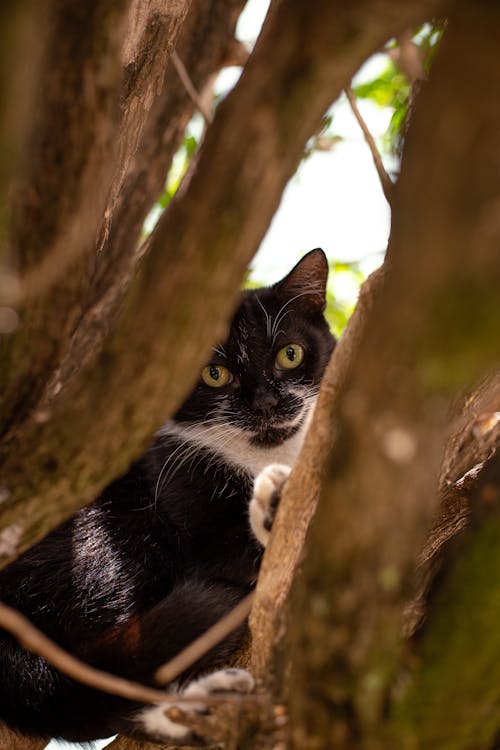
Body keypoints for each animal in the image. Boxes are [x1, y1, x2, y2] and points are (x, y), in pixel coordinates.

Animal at [0, 248, 336, 748]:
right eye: (214, 374)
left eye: (289, 354)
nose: (266, 403)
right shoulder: (176, 491)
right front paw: (275, 506)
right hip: (102, 531)